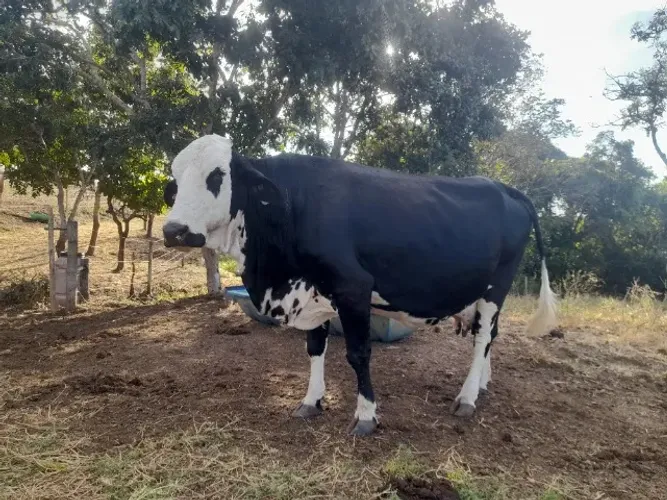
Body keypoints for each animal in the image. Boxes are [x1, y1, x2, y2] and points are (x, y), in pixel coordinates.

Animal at [162, 134, 557, 436]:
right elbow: (314, 348)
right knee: (490, 336)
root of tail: (503, 186)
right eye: (176, 182)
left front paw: (366, 415)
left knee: (481, 339)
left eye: (217, 176)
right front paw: (311, 401)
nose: (173, 230)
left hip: (497, 287)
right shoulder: (314, 290)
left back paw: (468, 397)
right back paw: (483, 384)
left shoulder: (352, 287)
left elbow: (358, 354)